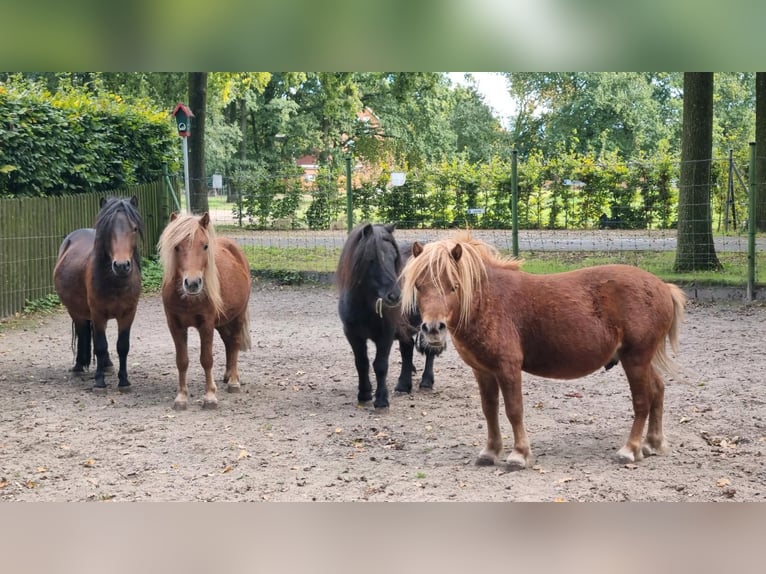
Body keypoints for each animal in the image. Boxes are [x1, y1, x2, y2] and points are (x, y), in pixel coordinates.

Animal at [54, 196, 146, 394]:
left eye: (134, 228)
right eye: (108, 229)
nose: (121, 265)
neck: (115, 282)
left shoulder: (128, 314)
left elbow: (122, 346)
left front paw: (124, 381)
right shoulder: (97, 314)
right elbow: (100, 345)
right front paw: (99, 382)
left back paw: (107, 364)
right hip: (76, 311)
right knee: (83, 333)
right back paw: (79, 366)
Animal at [158, 214, 254, 412]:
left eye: (205, 246)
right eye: (176, 246)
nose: (193, 283)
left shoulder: (206, 325)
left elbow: (206, 359)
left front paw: (210, 397)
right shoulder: (175, 326)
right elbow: (182, 360)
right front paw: (181, 397)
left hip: (238, 315)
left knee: (234, 342)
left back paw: (233, 381)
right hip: (223, 321)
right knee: (228, 343)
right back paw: (227, 375)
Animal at [338, 223, 444, 412]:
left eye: (394, 257)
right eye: (371, 259)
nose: (395, 296)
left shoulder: (385, 334)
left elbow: (380, 365)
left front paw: (381, 400)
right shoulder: (352, 335)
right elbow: (361, 363)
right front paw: (364, 394)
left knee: (429, 350)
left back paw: (426, 381)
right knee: (407, 348)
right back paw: (403, 385)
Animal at [402, 232, 688, 470]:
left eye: (454, 286)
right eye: (419, 285)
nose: (433, 329)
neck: (487, 301)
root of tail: (663, 287)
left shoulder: (508, 368)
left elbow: (514, 409)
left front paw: (519, 454)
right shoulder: (483, 371)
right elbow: (490, 409)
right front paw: (490, 452)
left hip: (635, 359)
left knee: (642, 401)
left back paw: (631, 449)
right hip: (641, 360)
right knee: (657, 391)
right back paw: (652, 443)